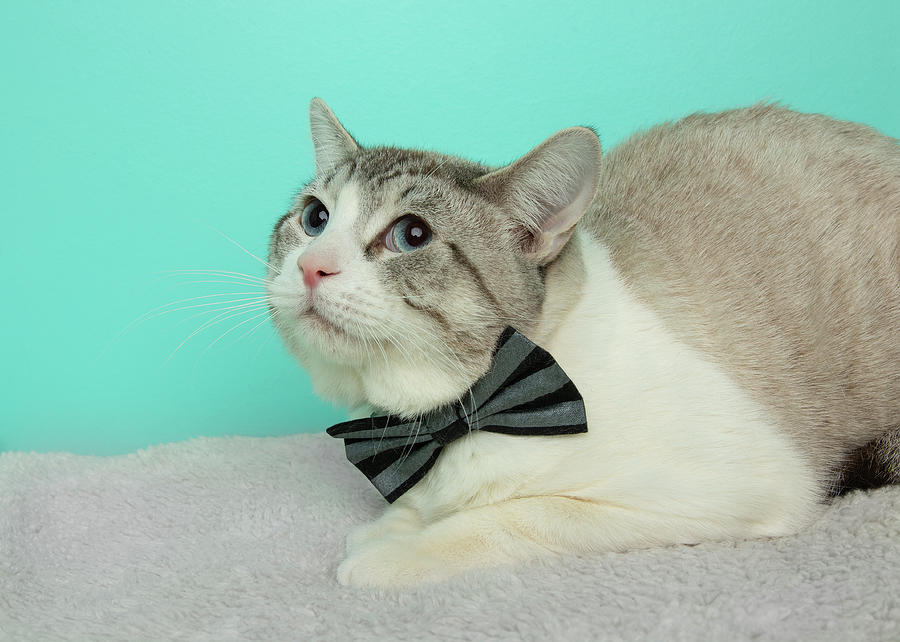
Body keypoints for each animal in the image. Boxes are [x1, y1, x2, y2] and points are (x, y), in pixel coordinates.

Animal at [266, 96, 900, 584]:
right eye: (315, 219)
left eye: (411, 235)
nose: (312, 266)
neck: (451, 416)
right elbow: (419, 509)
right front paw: (389, 527)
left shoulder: (734, 489)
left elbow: (513, 516)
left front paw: (389, 554)